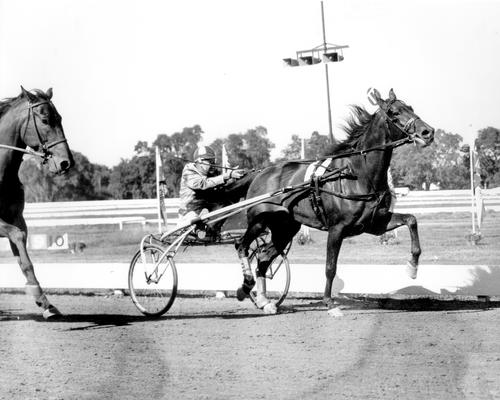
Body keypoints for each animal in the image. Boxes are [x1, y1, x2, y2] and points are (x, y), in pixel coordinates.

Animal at [0, 87, 74, 318]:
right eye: (45, 120)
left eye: (60, 118)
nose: (66, 162)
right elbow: (17, 235)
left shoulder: (17, 218)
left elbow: (24, 257)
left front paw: (45, 302)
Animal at [234, 90, 434, 316]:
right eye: (394, 112)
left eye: (410, 107)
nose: (427, 132)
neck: (357, 174)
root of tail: (259, 174)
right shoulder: (337, 229)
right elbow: (330, 267)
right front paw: (329, 303)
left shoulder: (376, 224)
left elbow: (411, 220)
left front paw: (412, 267)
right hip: (259, 222)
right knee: (242, 246)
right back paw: (246, 285)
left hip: (285, 229)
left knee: (263, 258)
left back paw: (264, 301)